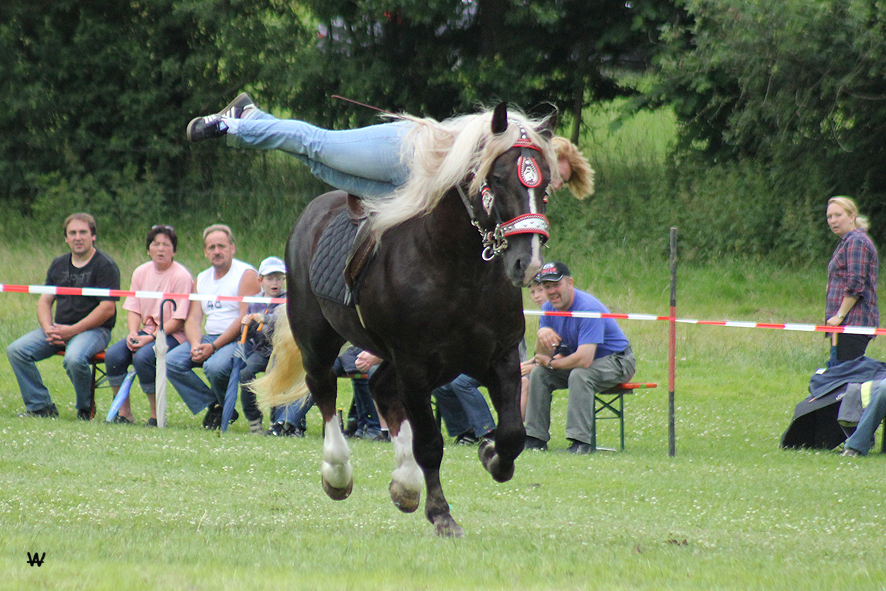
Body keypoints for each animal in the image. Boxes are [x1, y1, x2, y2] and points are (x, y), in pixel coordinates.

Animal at [256, 104, 556, 540]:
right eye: (497, 178)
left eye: (545, 181)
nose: (527, 261)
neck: (455, 268)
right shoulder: (415, 366)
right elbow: (430, 443)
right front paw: (441, 514)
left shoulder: (499, 359)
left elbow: (513, 434)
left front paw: (490, 454)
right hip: (318, 338)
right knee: (323, 388)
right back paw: (339, 474)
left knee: (379, 387)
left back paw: (405, 484)